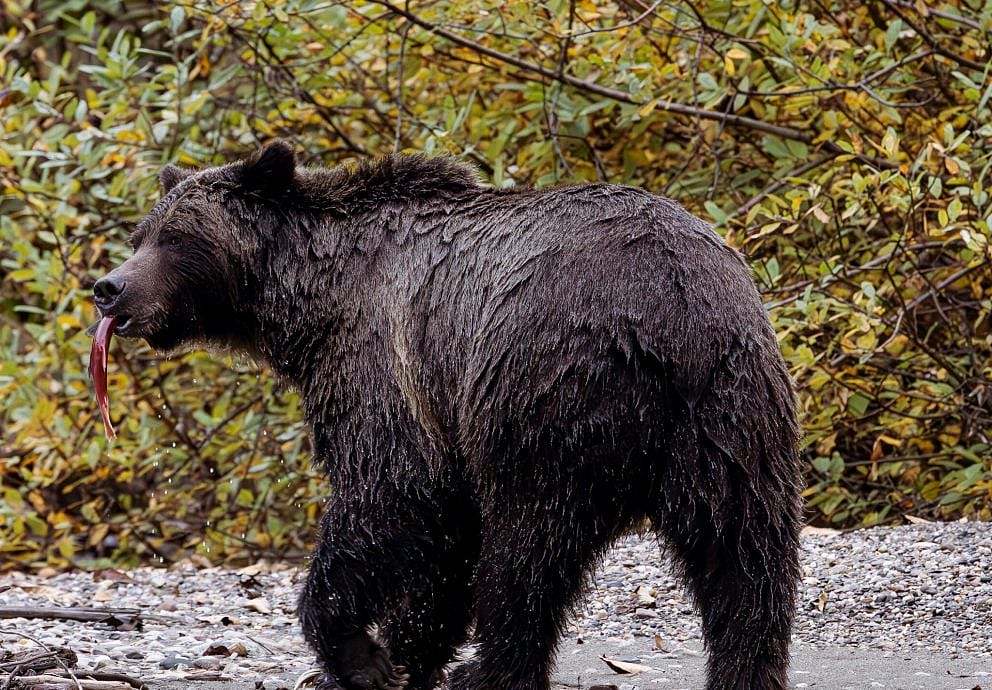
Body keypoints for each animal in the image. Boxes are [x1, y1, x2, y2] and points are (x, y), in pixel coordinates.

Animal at [93, 141, 804, 688]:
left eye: (178, 238)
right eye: (140, 234)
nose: (109, 287)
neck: (311, 303)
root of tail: (668, 312)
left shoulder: (387, 363)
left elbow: (391, 493)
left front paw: (361, 655)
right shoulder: (441, 411)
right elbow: (444, 539)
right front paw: (405, 654)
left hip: (546, 395)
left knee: (526, 551)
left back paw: (491, 670)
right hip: (732, 416)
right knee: (746, 556)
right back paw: (746, 667)